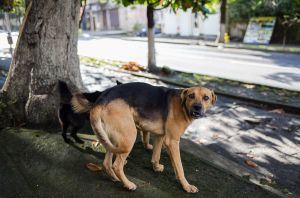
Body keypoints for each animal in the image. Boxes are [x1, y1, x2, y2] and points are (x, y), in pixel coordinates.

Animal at [72, 82, 216, 193]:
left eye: (206, 98)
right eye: (191, 96)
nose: (197, 108)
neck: (182, 104)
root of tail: (100, 101)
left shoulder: (160, 136)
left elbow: (156, 155)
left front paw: (156, 167)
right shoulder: (172, 141)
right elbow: (179, 168)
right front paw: (187, 187)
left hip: (112, 140)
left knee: (107, 163)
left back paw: (115, 179)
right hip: (130, 136)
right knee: (116, 165)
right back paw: (128, 184)